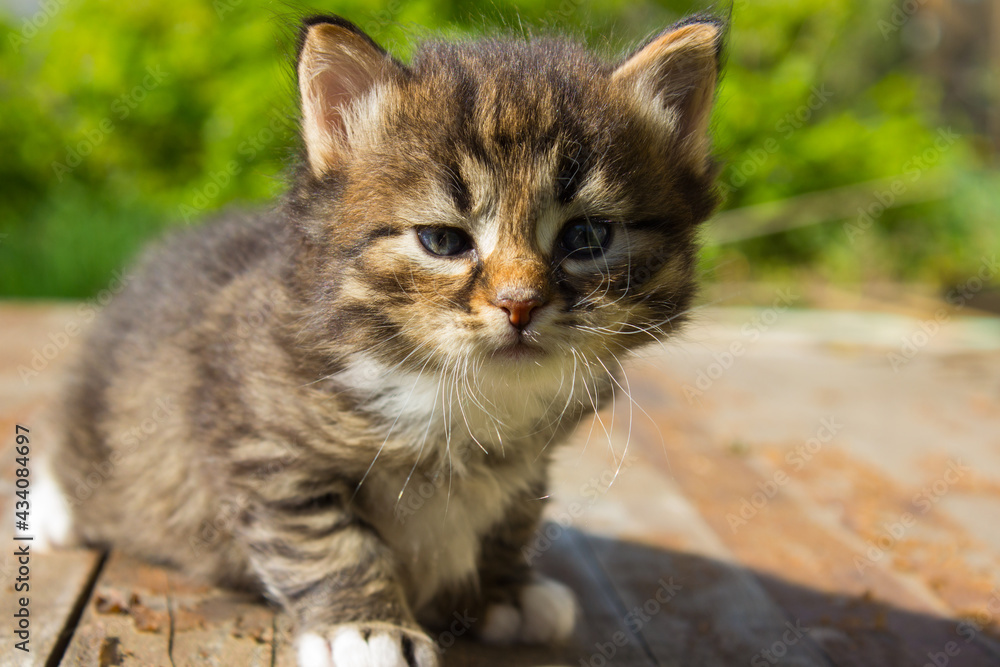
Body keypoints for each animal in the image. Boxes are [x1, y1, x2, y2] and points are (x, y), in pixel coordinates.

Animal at [37, 11, 728, 667]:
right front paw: (366, 627)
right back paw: (53, 513)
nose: (520, 304)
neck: (462, 394)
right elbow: (325, 538)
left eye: (586, 237)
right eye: (443, 241)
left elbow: (515, 512)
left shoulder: (530, 458)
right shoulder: (258, 435)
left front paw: (502, 591)